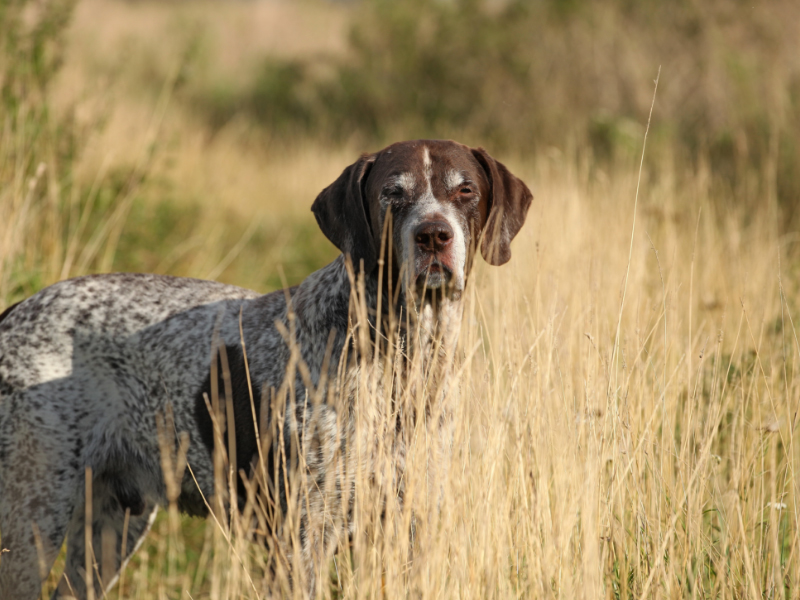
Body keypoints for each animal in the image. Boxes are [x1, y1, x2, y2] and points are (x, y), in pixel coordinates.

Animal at [0, 139, 532, 596]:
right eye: (392, 194)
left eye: (465, 191)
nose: (434, 236)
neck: (404, 360)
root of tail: (18, 310)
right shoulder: (301, 544)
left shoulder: (408, 533)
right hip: (32, 526)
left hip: (111, 529)